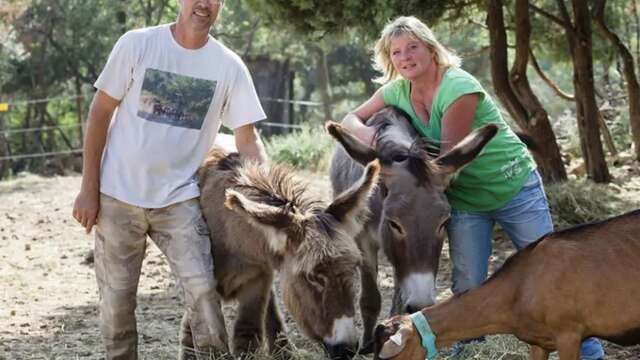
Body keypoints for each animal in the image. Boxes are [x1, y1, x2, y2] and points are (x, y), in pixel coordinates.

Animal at [179, 148, 380, 358]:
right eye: (312, 277)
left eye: (354, 268)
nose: (347, 349)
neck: (232, 238)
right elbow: (195, 325)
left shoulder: (257, 282)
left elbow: (248, 335)